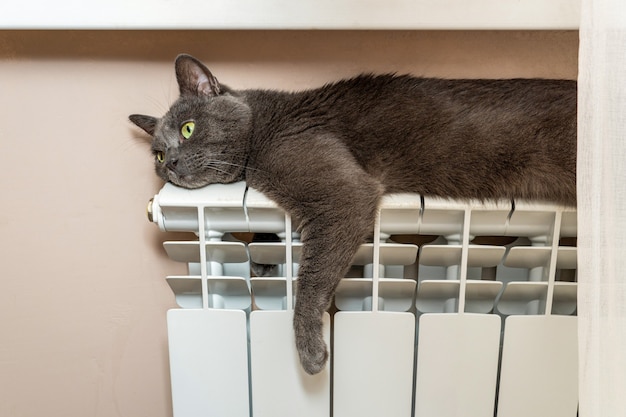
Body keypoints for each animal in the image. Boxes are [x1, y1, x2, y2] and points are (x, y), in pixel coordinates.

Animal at [129, 52, 572, 374]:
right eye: (158, 154)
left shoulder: (341, 196)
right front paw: (264, 256)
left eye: (187, 128)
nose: (170, 164)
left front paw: (309, 350)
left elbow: (310, 279)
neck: (262, 131)